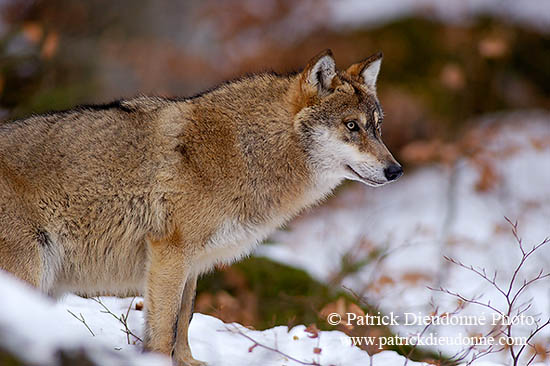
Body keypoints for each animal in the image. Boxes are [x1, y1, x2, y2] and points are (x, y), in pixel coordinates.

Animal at [0, 50, 406, 364]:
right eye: (351, 127)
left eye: (377, 127)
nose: (396, 170)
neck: (245, 151)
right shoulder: (169, 254)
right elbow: (164, 332)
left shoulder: (191, 264)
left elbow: (184, 324)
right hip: (30, 271)